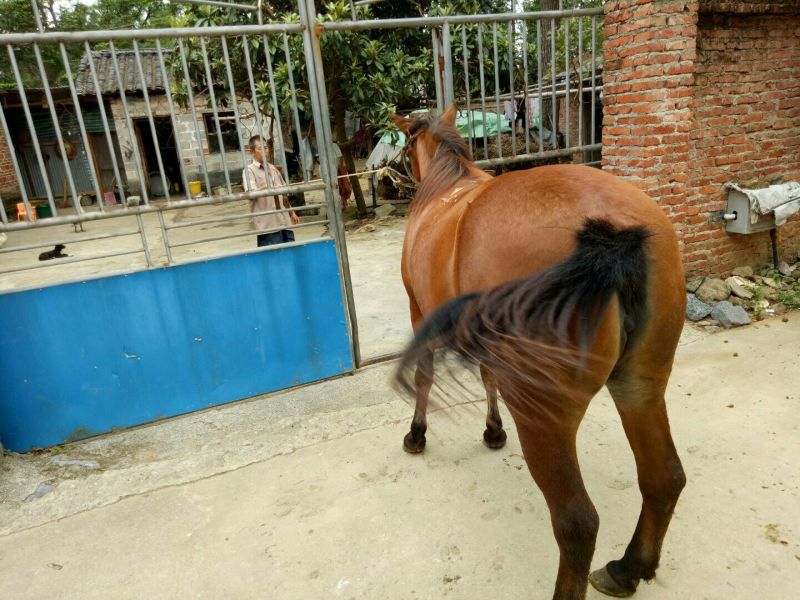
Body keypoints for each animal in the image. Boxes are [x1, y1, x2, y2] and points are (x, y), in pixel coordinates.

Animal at [392, 105, 687, 600]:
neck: (446, 188)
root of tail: (609, 231)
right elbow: (487, 377)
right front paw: (493, 430)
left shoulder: (420, 311)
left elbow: (425, 376)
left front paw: (418, 434)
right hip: (642, 385)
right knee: (664, 478)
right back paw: (628, 568)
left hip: (545, 418)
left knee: (577, 523)